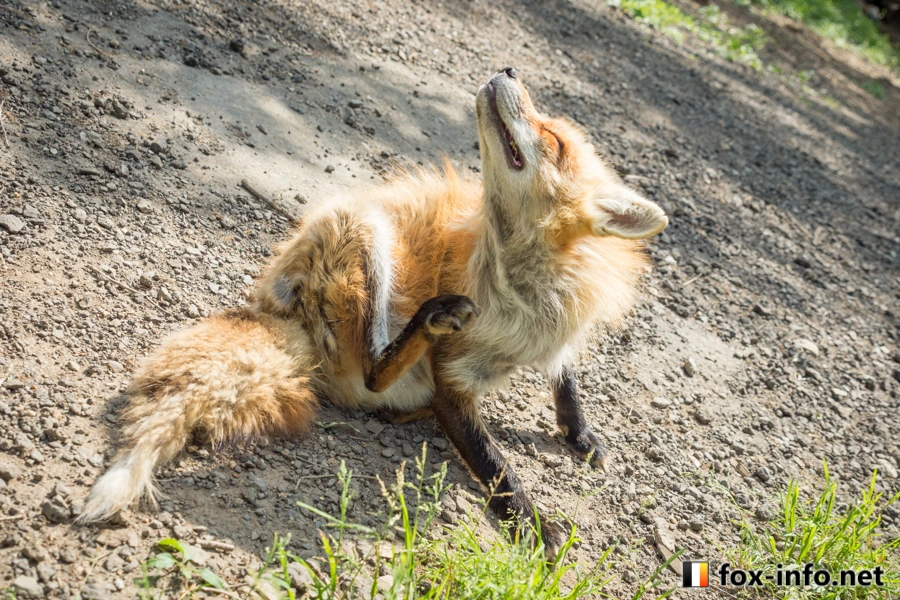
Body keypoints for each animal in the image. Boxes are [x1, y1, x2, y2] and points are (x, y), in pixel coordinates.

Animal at [78, 67, 668, 550]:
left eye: (552, 139)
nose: (508, 70)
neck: (524, 299)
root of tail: (282, 311)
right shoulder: (454, 379)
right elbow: (496, 465)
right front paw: (532, 525)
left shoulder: (560, 333)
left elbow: (566, 382)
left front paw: (579, 433)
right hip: (368, 235)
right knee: (375, 369)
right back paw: (428, 323)